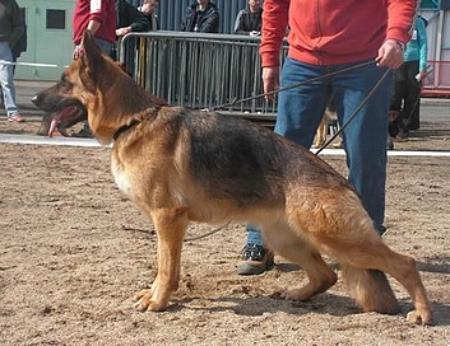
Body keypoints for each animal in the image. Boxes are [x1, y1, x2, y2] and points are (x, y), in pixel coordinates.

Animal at [31, 32, 432, 324]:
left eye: (64, 82)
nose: (33, 99)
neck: (133, 120)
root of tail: (340, 180)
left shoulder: (167, 219)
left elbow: (165, 267)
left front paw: (159, 301)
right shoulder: (169, 224)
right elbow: (167, 267)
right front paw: (158, 295)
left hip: (335, 238)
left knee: (404, 263)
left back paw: (423, 313)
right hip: (285, 238)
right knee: (326, 276)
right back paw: (297, 294)